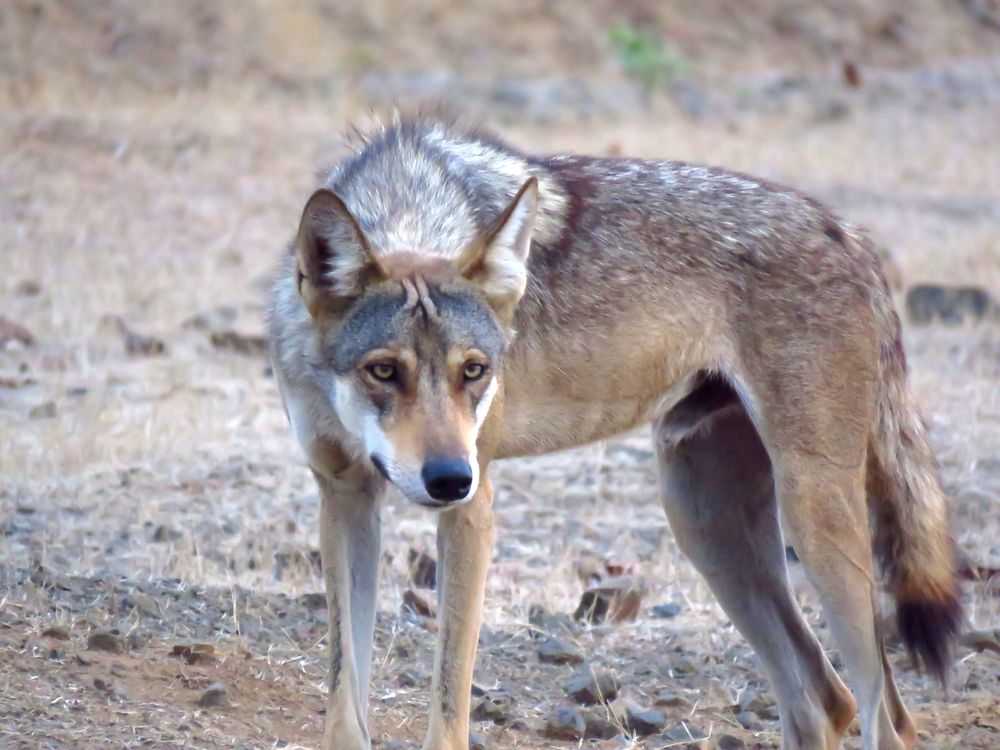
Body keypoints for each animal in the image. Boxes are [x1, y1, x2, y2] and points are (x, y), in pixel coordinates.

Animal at [268, 116, 961, 750]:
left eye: (474, 371)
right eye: (384, 370)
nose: (447, 478)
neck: (408, 206)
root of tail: (851, 236)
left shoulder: (473, 511)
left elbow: (448, 712)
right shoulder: (346, 498)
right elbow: (344, 699)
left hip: (813, 521)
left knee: (885, 718)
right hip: (705, 526)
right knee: (823, 699)